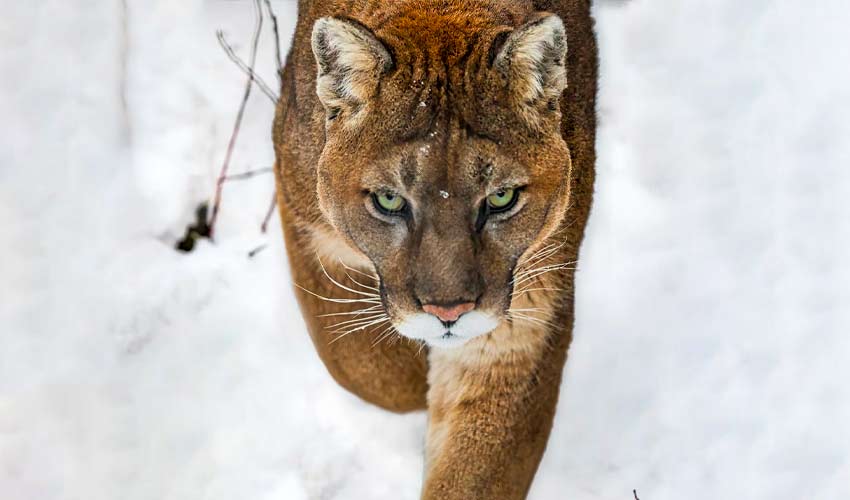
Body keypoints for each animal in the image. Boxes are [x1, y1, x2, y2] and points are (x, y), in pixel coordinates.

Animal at [272, 1, 596, 498]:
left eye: (502, 198)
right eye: (389, 200)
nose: (449, 313)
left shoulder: (520, 326)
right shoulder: (309, 223)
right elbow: (364, 367)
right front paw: (412, 376)